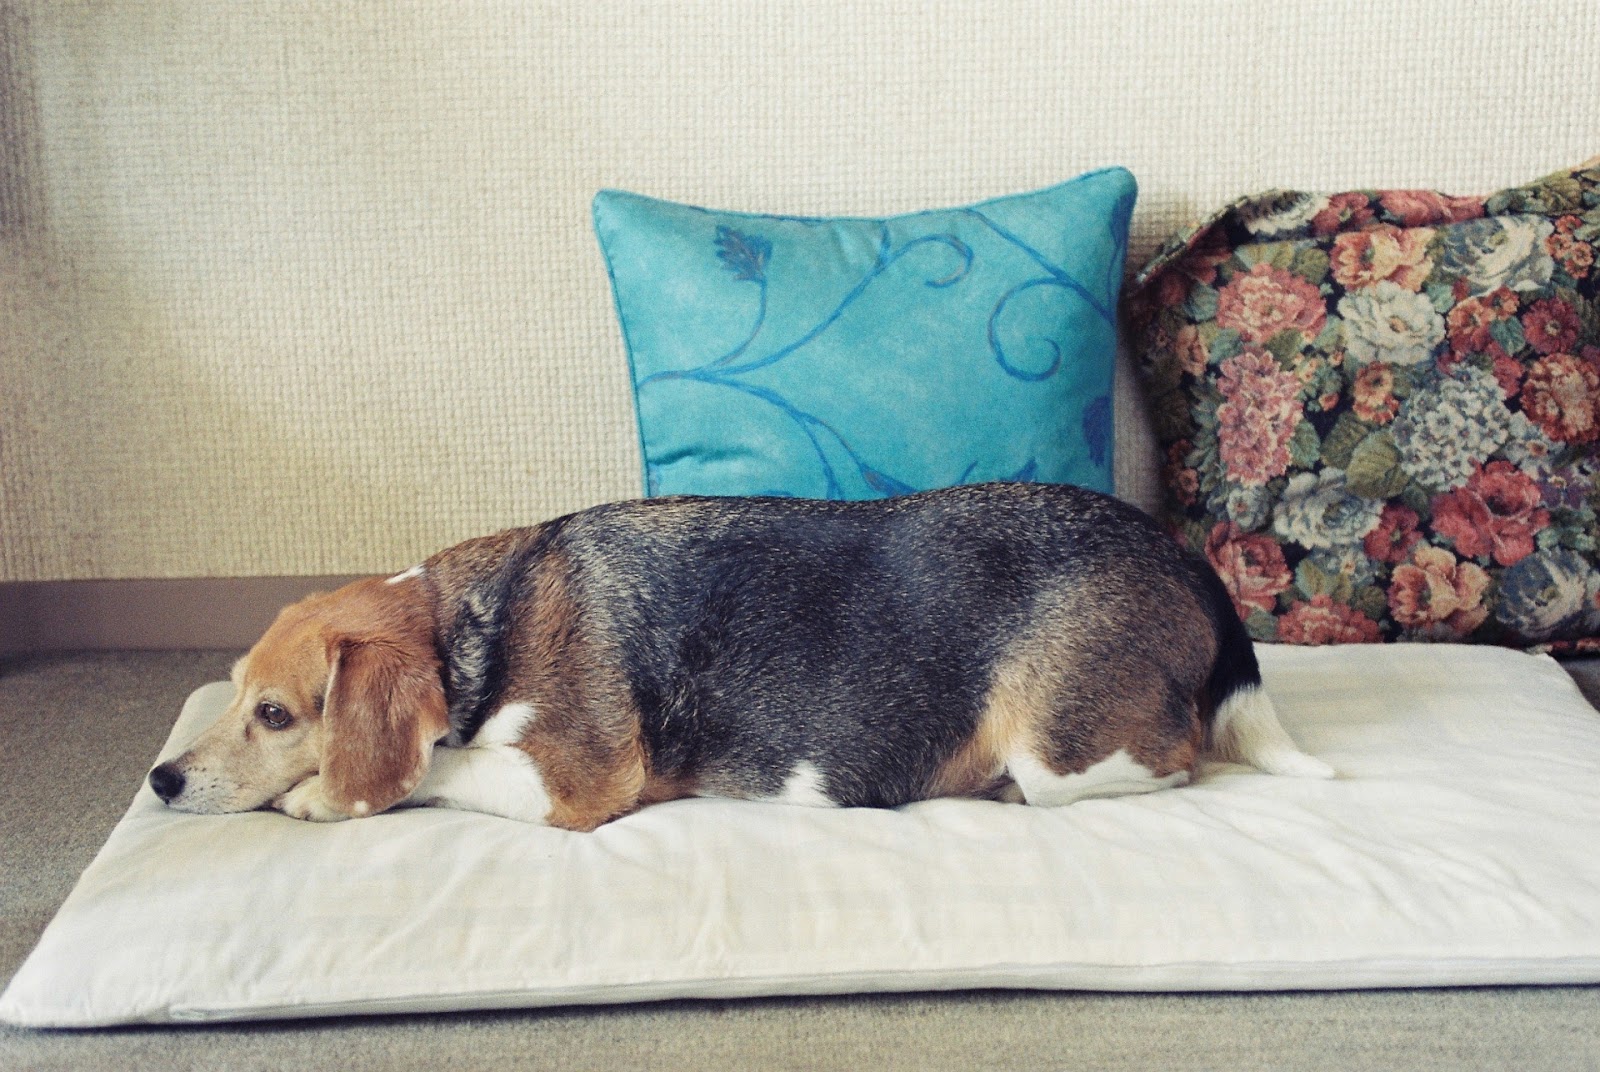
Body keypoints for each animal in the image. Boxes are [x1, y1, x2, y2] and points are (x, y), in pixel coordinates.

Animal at [150, 486, 1331, 832]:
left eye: (275, 714)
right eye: (236, 695)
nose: (158, 778)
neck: (472, 626)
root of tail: (1187, 562)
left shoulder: (571, 782)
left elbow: (438, 768)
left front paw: (322, 796)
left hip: (1062, 746)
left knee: (1175, 757)